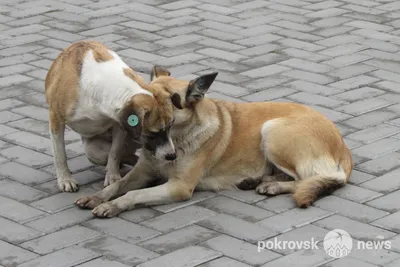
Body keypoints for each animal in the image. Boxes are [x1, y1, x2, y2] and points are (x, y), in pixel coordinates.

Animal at [45, 41, 175, 193]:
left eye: (171, 126)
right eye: (153, 133)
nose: (173, 156)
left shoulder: (119, 124)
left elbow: (115, 152)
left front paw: (112, 177)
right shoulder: (55, 120)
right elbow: (60, 154)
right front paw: (65, 179)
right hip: (93, 150)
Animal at [75, 66, 354, 218]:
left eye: (170, 105)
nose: (127, 113)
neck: (180, 139)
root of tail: (344, 147)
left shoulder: (178, 187)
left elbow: (134, 193)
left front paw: (113, 206)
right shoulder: (142, 172)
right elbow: (118, 184)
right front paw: (98, 197)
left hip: (272, 131)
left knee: (308, 179)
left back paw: (272, 186)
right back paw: (258, 181)